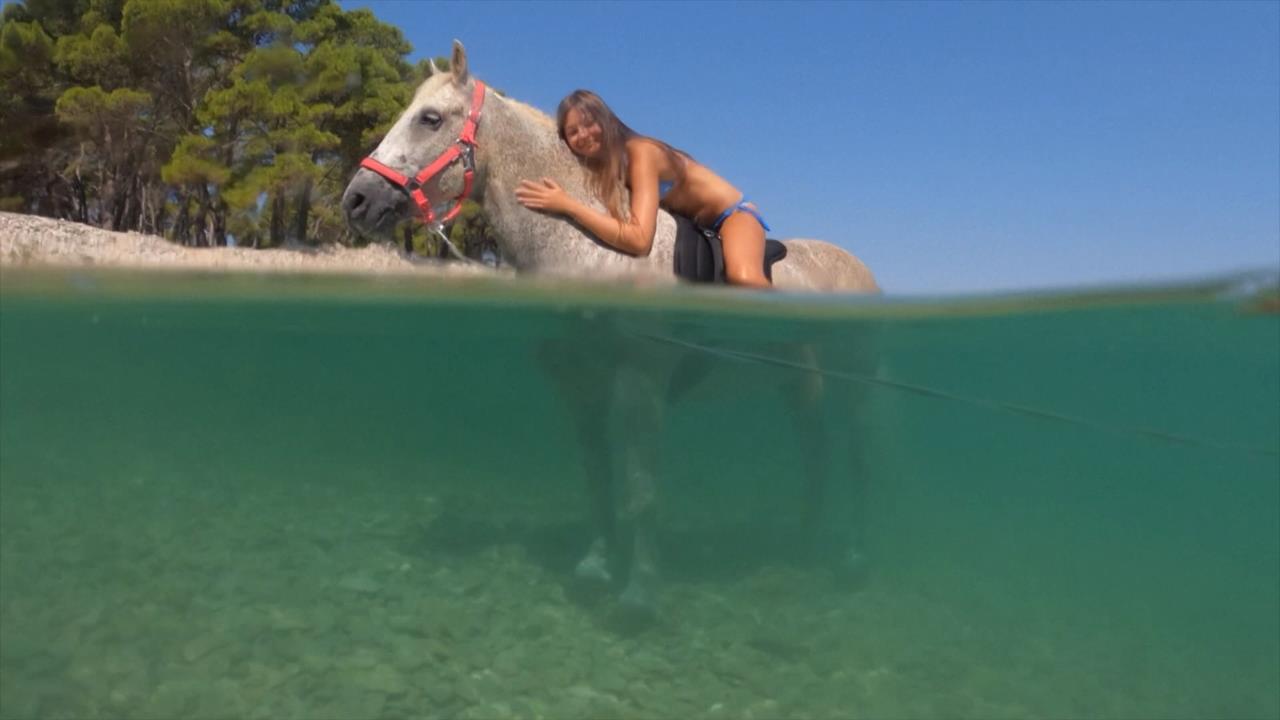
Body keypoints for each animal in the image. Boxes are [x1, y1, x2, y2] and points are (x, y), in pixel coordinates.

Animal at [342, 41, 881, 616]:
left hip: (854, 390)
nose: (356, 200)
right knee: (818, 455)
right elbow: (598, 479)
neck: (592, 250)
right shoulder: (581, 389)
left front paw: (639, 593)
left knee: (857, 459)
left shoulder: (640, 385)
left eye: (430, 118)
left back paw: (853, 557)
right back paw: (805, 544)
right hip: (800, 386)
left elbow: (641, 491)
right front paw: (597, 565)